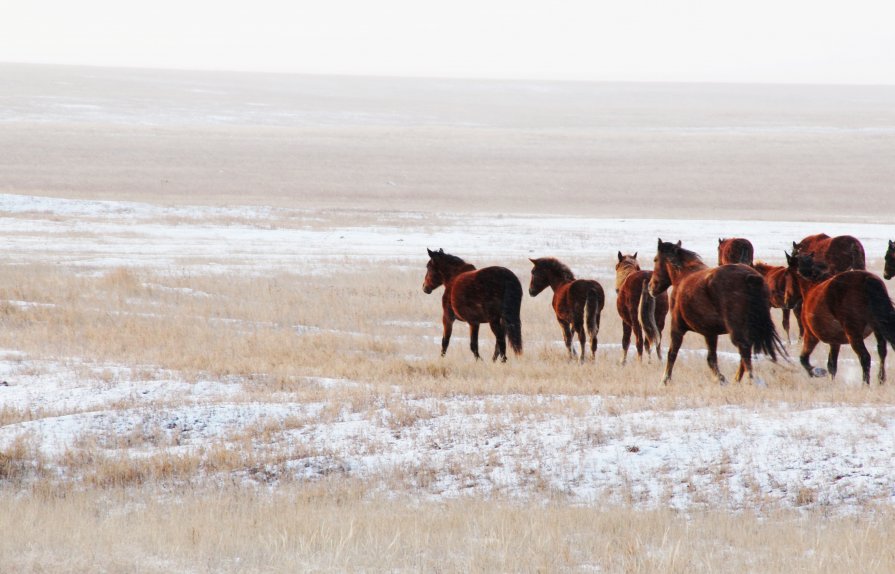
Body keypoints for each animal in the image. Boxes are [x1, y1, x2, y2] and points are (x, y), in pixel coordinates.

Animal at [648, 240, 780, 388]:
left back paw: (750, 380)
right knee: (745, 353)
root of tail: (750, 277)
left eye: (655, 259)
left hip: (737, 331)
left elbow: (672, 354)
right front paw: (720, 378)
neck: (682, 277)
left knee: (744, 350)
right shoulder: (710, 333)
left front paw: (664, 380)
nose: (651, 287)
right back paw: (738, 380)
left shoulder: (677, 328)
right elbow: (711, 358)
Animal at [784, 254, 895, 384]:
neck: (812, 287)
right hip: (877, 328)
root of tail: (867, 280)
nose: (787, 302)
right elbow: (832, 366)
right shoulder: (835, 342)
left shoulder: (810, 335)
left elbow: (804, 359)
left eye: (787, 275)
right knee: (881, 352)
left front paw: (817, 372)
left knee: (865, 357)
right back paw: (880, 380)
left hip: (853, 334)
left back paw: (865, 385)